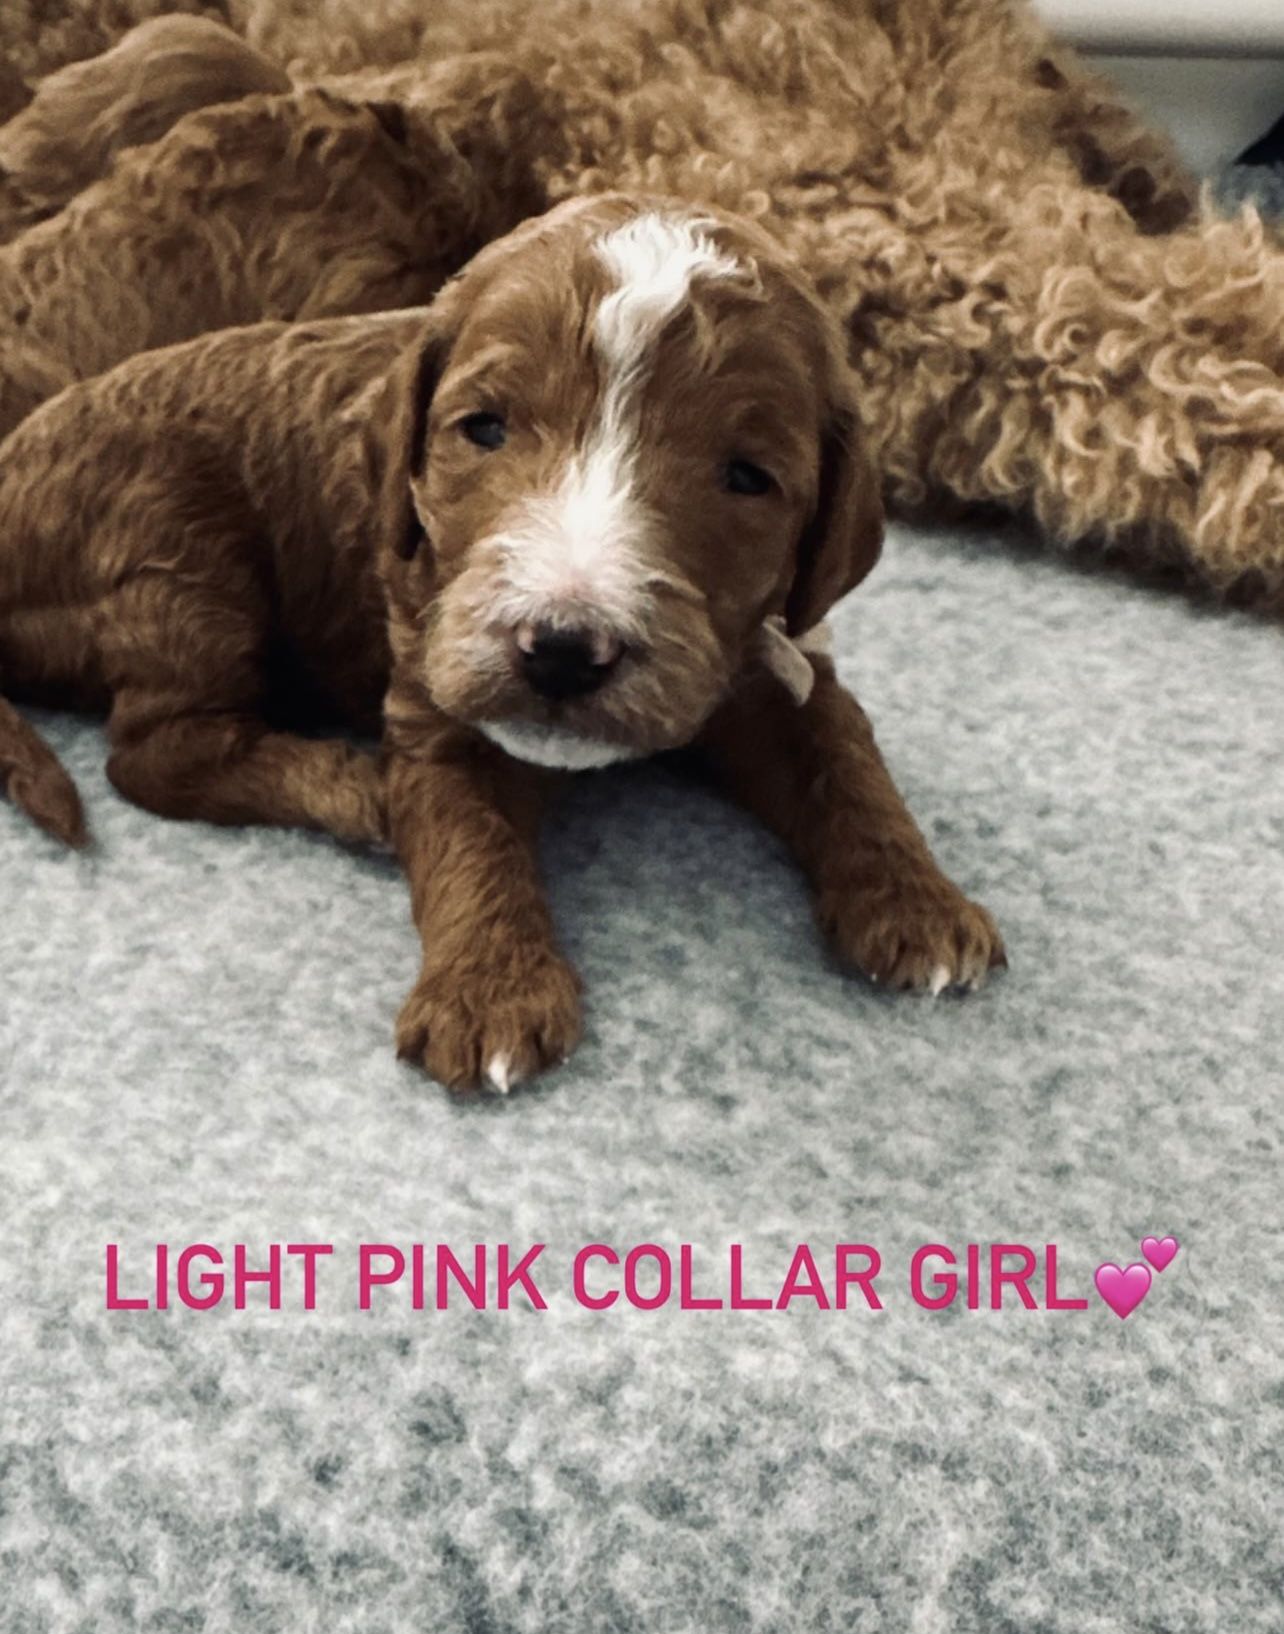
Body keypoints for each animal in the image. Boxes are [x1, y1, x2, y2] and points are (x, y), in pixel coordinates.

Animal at [0, 192, 1004, 1090]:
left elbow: (844, 755)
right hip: (177, 551)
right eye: (483, 427)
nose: (562, 647)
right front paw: (487, 994)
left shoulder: (771, 657)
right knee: (158, 753)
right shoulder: (437, 684)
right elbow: (467, 834)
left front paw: (919, 900)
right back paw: (355, 785)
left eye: (748, 477)